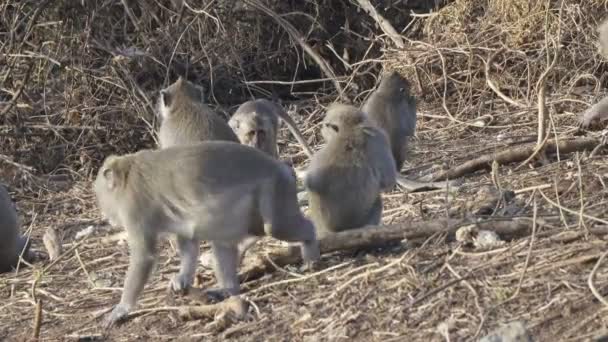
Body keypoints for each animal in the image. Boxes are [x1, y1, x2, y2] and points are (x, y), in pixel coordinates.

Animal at [92, 141, 320, 326]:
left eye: (101, 195)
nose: (107, 215)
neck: (127, 175)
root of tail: (282, 167)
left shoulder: (134, 208)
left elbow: (144, 257)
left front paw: (122, 308)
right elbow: (188, 240)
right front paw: (182, 278)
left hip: (275, 188)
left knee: (275, 227)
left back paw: (311, 249)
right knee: (223, 242)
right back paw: (228, 290)